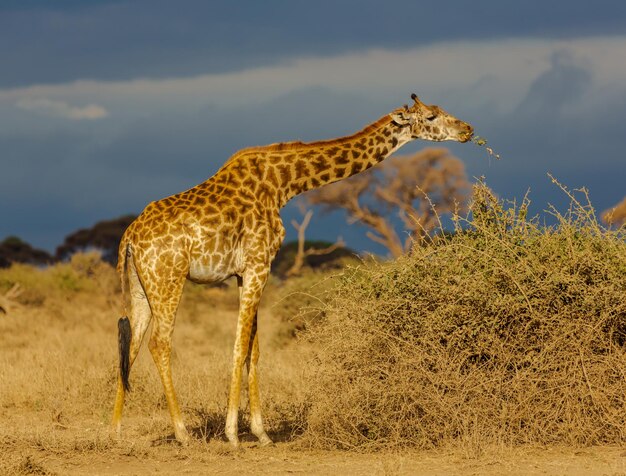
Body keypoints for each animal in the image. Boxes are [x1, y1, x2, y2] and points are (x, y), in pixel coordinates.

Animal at [112, 93, 472, 446]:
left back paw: (113, 429)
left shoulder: (244, 272)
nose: (467, 129)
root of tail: (130, 237)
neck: (283, 183)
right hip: (169, 278)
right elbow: (240, 346)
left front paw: (261, 432)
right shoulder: (259, 264)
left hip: (142, 285)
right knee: (159, 343)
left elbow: (254, 350)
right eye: (431, 117)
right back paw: (182, 433)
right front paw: (233, 434)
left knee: (131, 342)